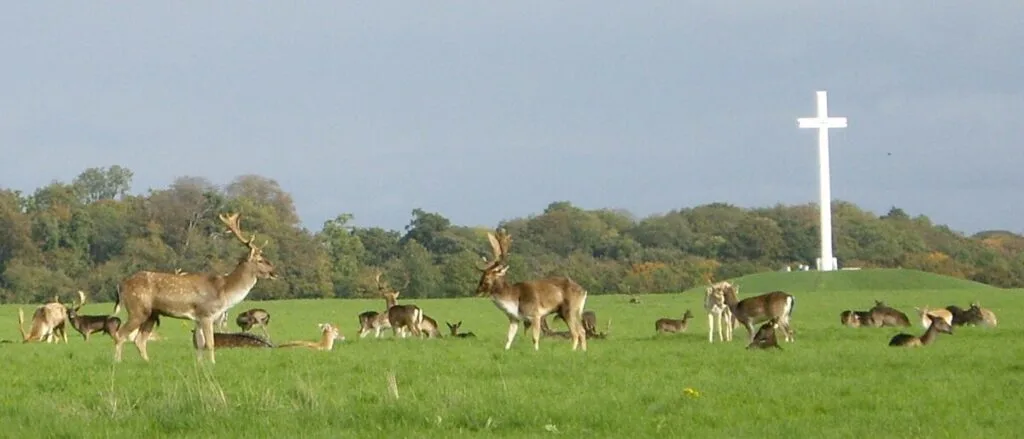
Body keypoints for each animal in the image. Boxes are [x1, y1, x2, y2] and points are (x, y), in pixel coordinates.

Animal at [112, 212, 278, 363]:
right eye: (260, 260)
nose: (274, 272)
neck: (224, 291)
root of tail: (122, 285)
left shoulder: (198, 318)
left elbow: (199, 343)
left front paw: (200, 365)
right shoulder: (206, 314)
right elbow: (210, 343)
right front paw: (212, 364)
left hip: (152, 314)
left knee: (139, 340)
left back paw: (147, 362)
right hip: (137, 308)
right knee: (121, 334)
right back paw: (117, 362)